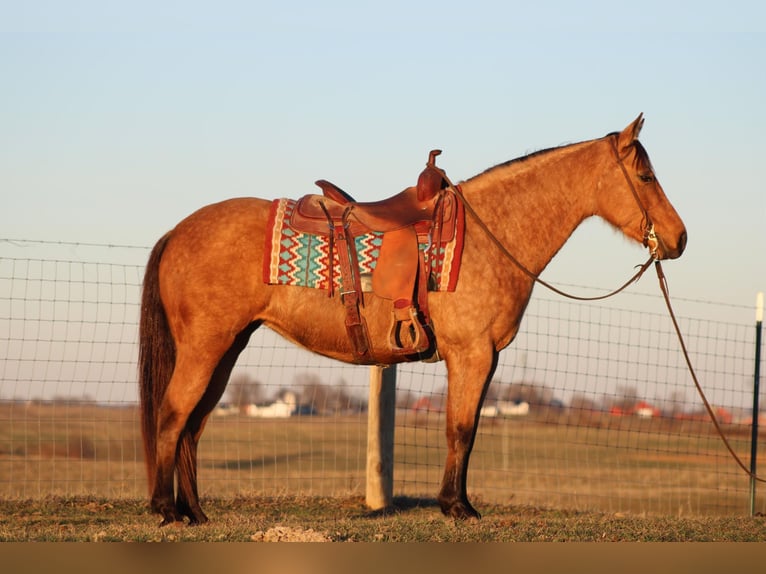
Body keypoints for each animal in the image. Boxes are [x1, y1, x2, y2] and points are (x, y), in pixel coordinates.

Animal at [140, 116, 688, 528]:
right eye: (645, 177)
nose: (679, 238)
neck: (491, 233)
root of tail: (177, 231)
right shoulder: (472, 354)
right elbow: (460, 429)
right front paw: (458, 507)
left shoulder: (482, 359)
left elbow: (466, 429)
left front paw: (457, 502)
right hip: (206, 348)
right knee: (172, 416)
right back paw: (168, 510)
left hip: (227, 349)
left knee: (192, 426)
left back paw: (195, 512)